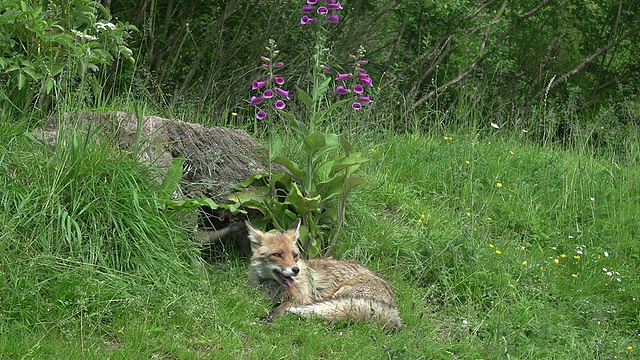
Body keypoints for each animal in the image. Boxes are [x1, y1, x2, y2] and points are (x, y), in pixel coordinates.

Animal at [248, 218, 402, 330]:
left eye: (295, 256)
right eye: (277, 255)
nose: (295, 270)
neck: (272, 287)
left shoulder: (300, 298)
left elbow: (279, 309)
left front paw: (267, 319)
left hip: (342, 296)